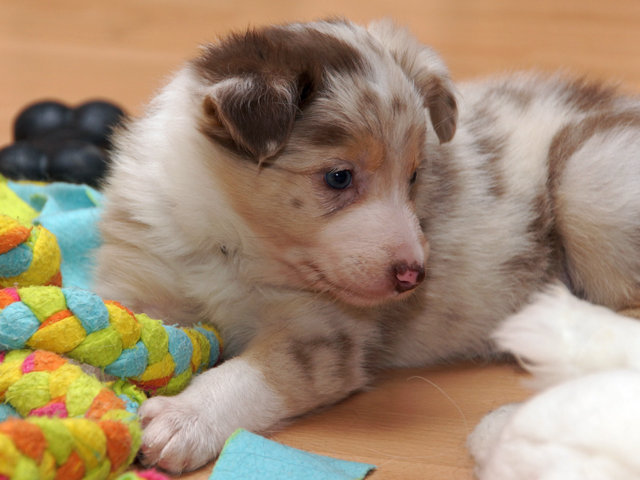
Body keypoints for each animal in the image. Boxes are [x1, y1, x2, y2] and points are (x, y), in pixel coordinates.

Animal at [93, 18, 640, 473]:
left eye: (414, 176)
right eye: (339, 177)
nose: (414, 276)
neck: (231, 242)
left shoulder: (321, 334)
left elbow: (251, 378)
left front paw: (183, 419)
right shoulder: (139, 276)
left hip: (588, 175)